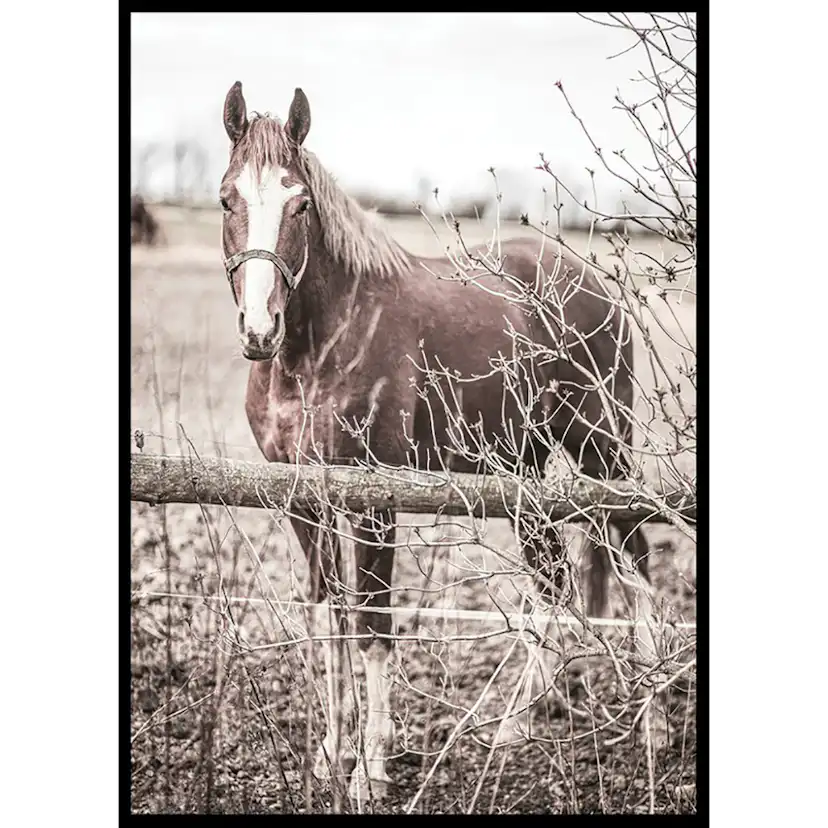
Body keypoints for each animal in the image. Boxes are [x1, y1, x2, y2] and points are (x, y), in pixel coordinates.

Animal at [217, 82, 659, 799]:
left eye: (300, 203)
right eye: (228, 198)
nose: (261, 328)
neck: (321, 345)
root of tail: (590, 281)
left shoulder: (374, 503)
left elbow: (371, 626)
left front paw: (370, 768)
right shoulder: (302, 501)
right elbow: (327, 619)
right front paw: (330, 754)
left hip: (602, 450)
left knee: (636, 563)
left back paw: (653, 723)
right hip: (524, 474)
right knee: (555, 584)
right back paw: (513, 728)